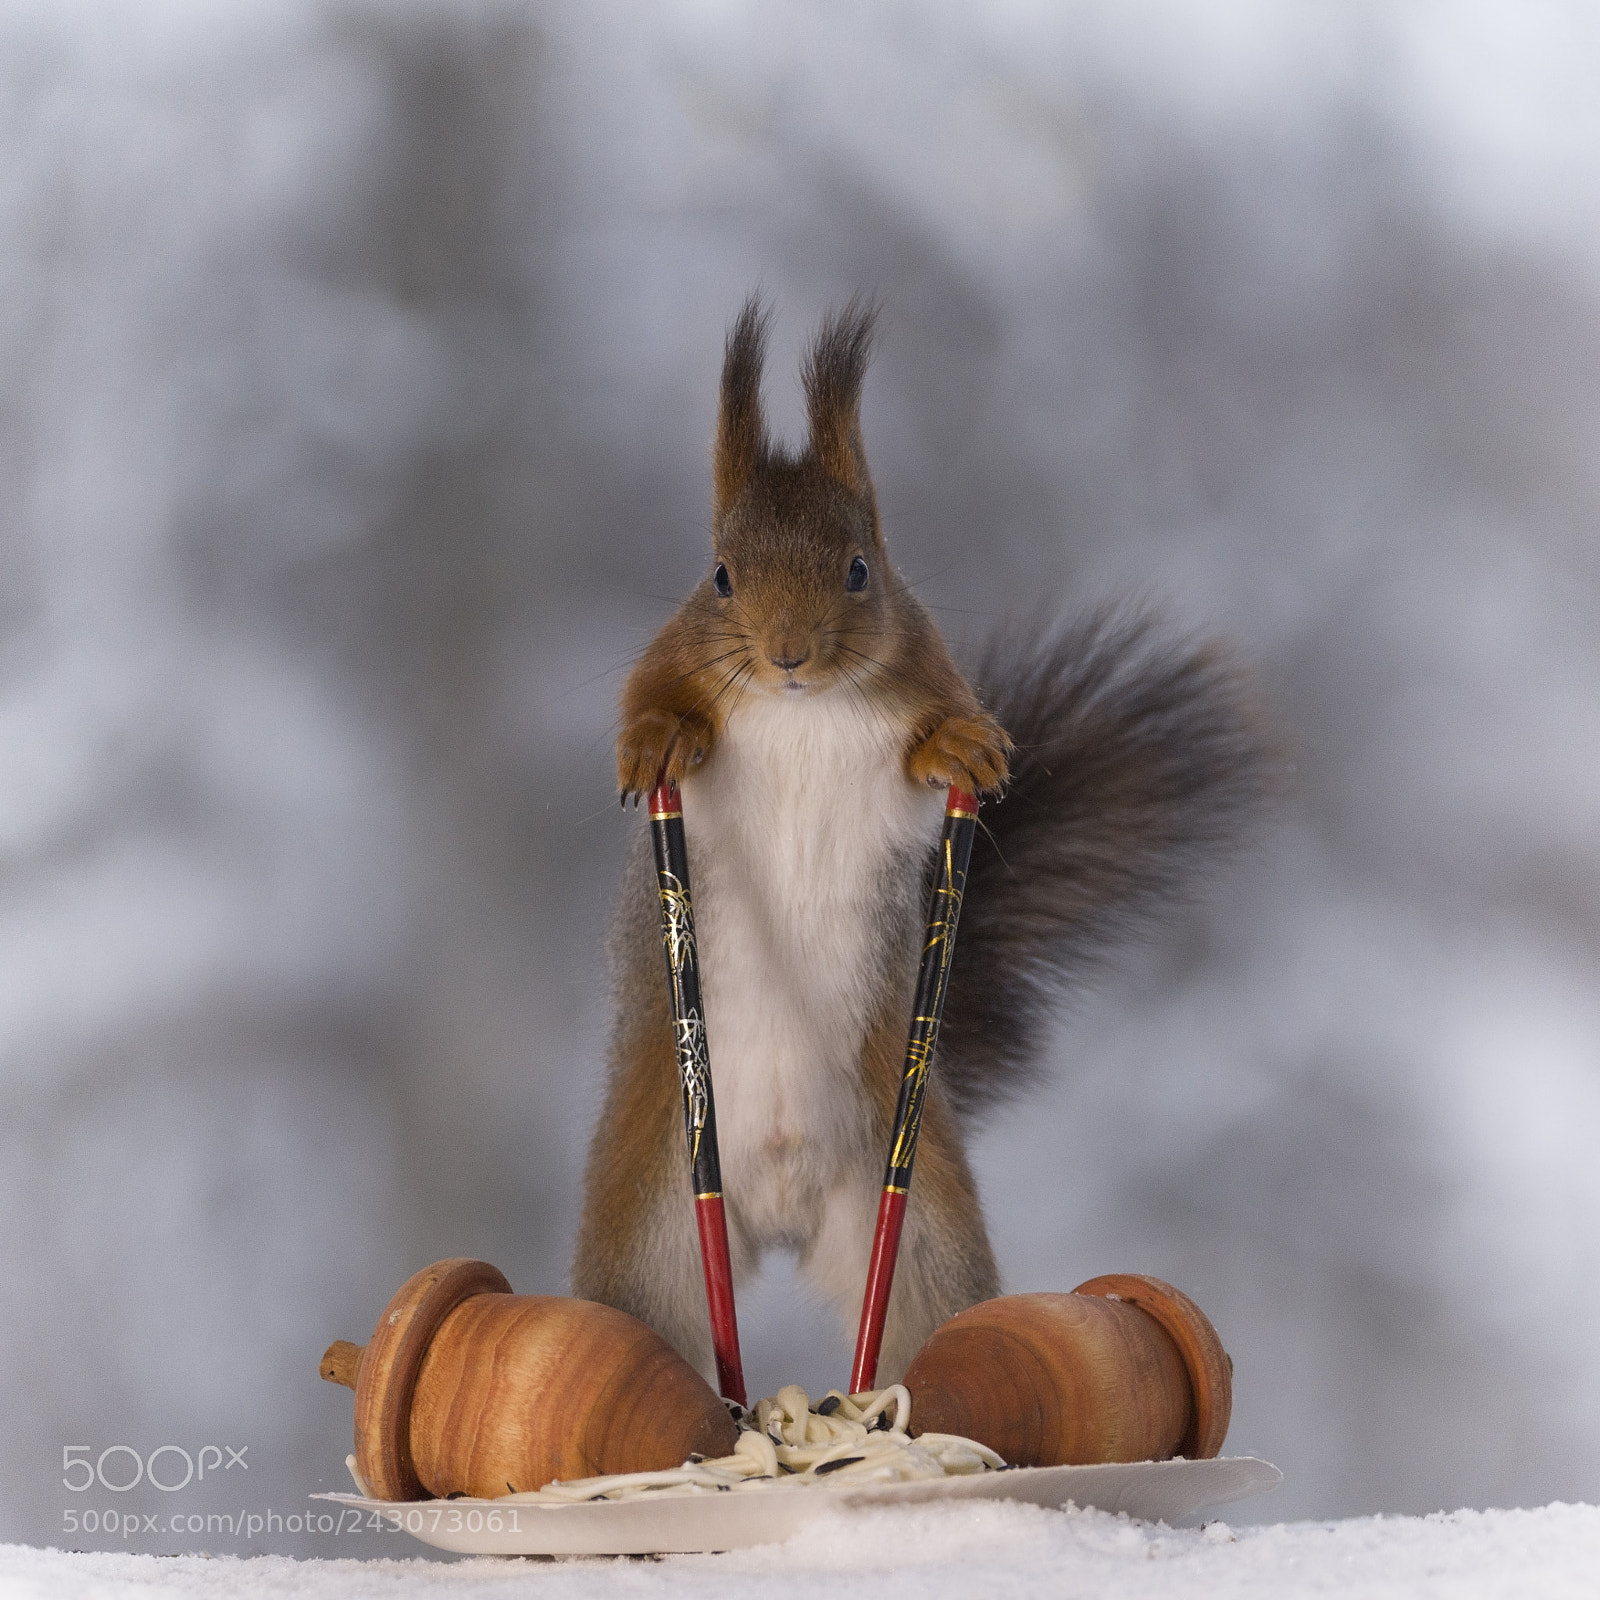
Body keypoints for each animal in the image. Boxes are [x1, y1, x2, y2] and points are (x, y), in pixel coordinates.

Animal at [572, 297, 1271, 1387]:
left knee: (928, 1324)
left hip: (919, 1230)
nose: (788, 654)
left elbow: (942, 741)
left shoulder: (924, 677)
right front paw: (653, 743)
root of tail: (778, 1212)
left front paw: (968, 751)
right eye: (720, 577)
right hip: (650, 1235)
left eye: (861, 570)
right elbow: (648, 702)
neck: (802, 708)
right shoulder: (670, 657)